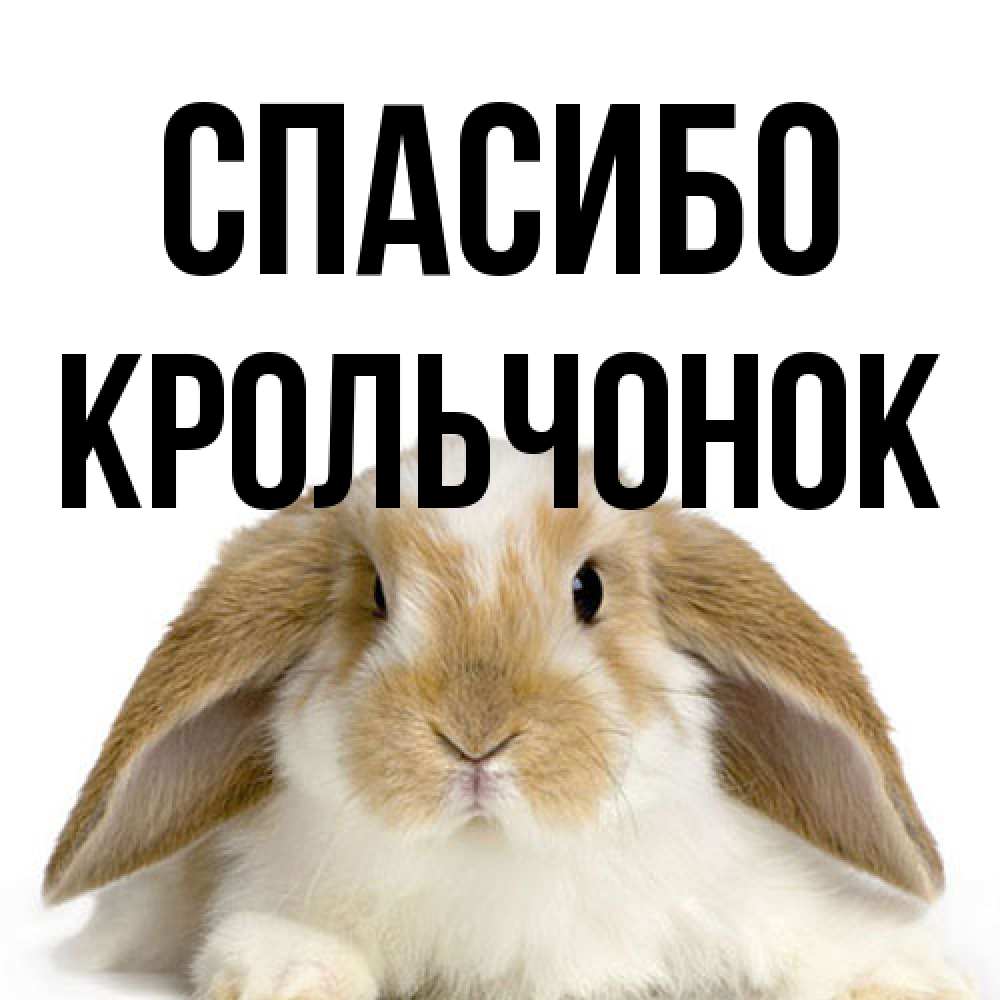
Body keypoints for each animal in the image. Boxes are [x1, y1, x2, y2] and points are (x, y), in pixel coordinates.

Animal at [45, 439, 975, 1000]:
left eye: (589, 589)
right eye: (376, 596)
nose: (475, 737)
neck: (495, 857)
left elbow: (819, 939)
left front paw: (910, 978)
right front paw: (290, 977)